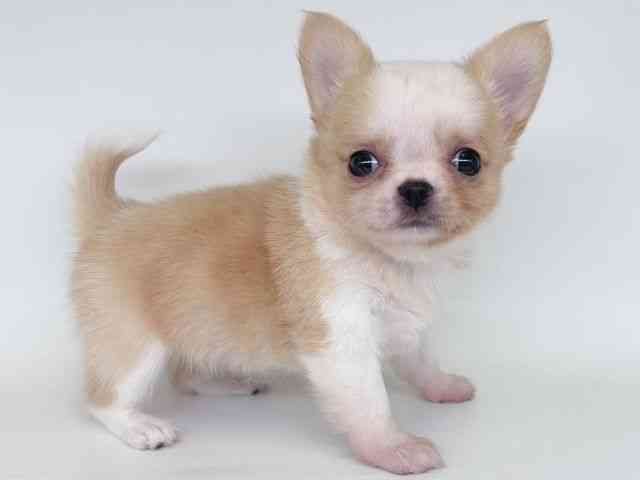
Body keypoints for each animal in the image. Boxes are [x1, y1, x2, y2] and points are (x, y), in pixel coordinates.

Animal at [71, 11, 551, 474]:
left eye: (468, 162)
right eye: (361, 163)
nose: (415, 188)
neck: (393, 260)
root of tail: (113, 214)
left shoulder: (404, 328)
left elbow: (419, 362)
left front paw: (441, 386)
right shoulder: (342, 340)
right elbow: (370, 403)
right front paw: (393, 448)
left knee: (185, 373)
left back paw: (225, 382)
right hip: (134, 346)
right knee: (103, 399)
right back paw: (140, 426)